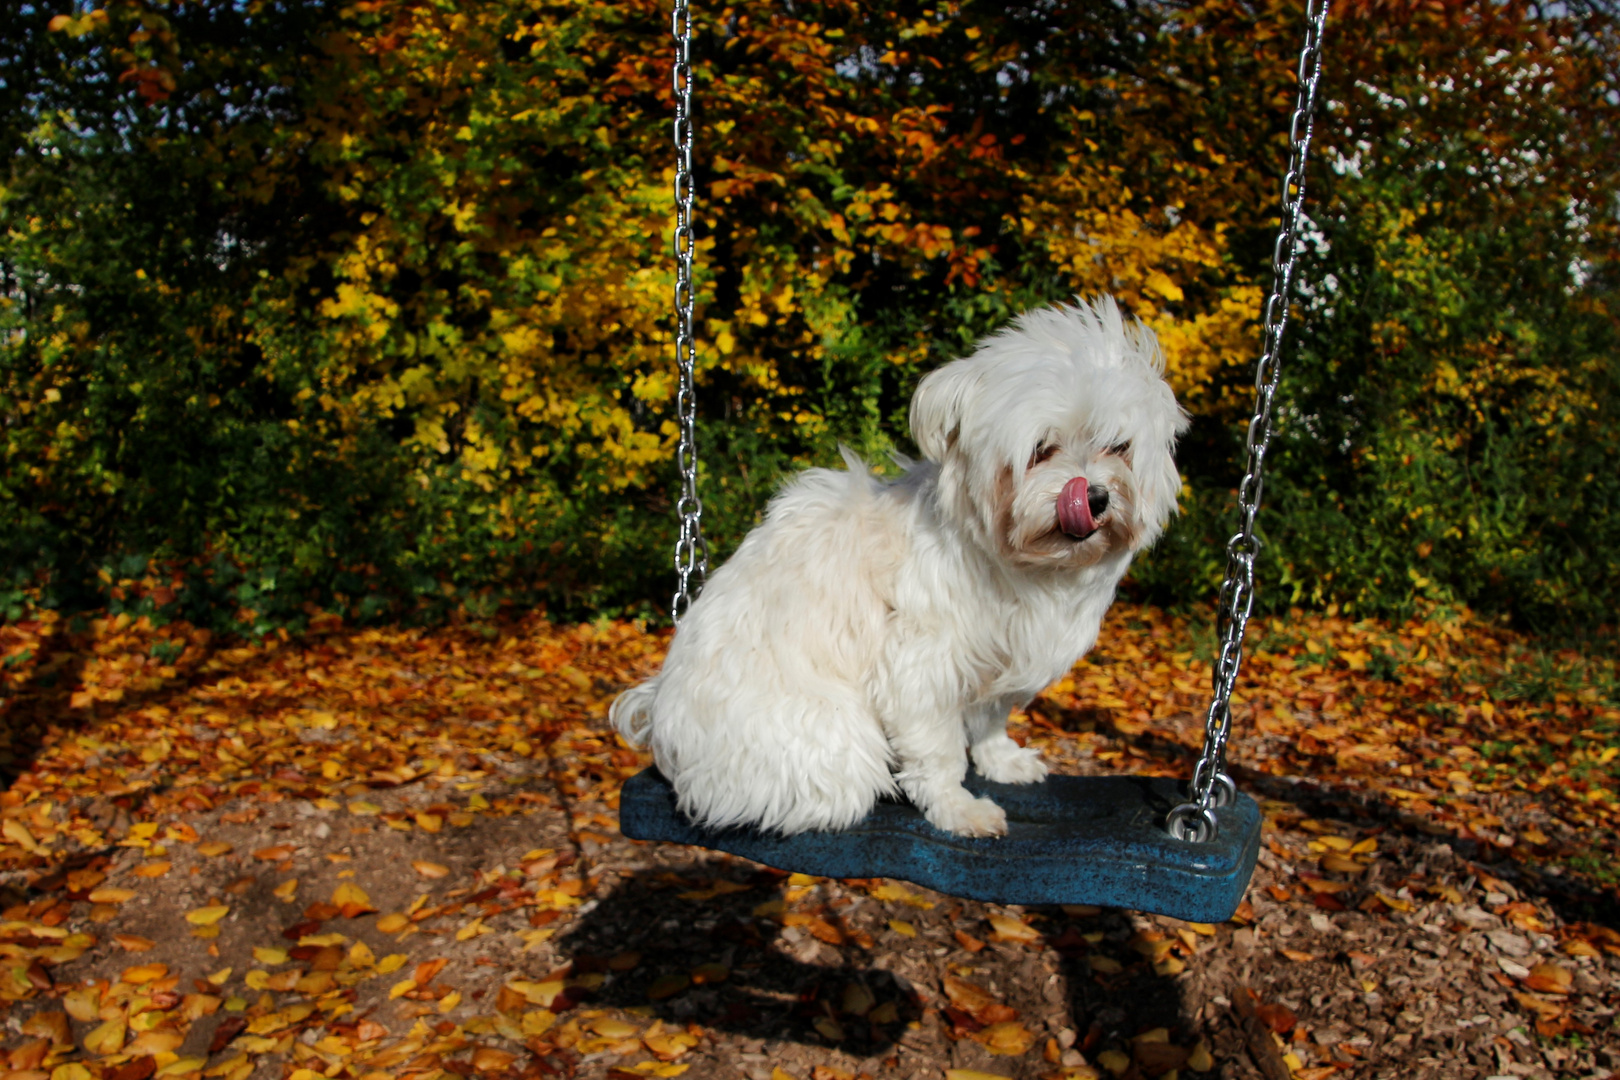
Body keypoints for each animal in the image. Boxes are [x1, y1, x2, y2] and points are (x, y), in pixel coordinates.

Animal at [609, 299, 1192, 841]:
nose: (1093, 497)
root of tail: (660, 716)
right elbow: (938, 750)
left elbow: (990, 719)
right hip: (830, 739)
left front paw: (1000, 760)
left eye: (1118, 446)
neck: (1014, 559)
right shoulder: (922, 665)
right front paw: (957, 807)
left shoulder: (1000, 658)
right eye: (1040, 451)